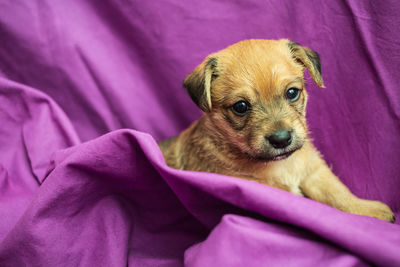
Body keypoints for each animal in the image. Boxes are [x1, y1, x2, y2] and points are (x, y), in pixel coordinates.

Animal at [159, 38, 394, 223]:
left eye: (292, 93)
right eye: (240, 107)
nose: (281, 139)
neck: (281, 165)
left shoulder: (314, 170)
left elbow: (338, 192)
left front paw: (368, 209)